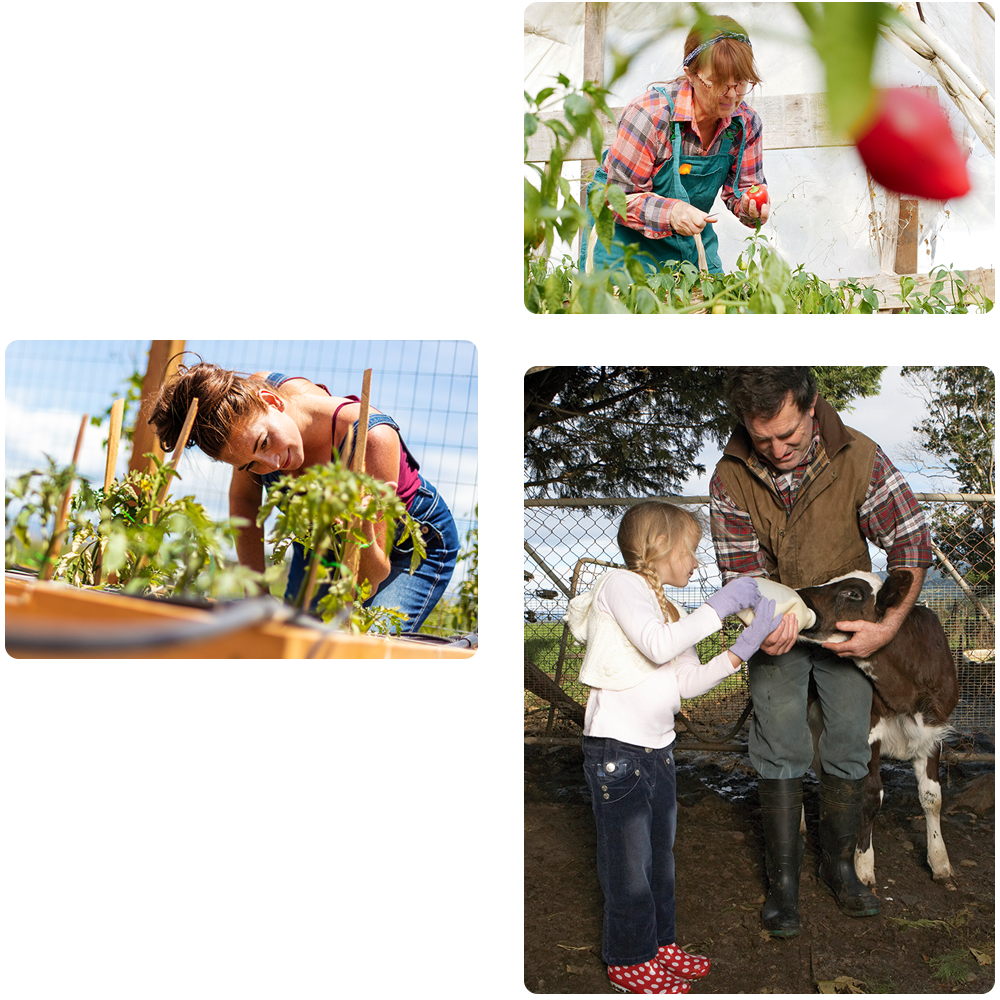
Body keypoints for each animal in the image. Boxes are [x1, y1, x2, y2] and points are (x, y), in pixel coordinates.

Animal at [792, 572, 956, 884]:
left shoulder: (933, 732)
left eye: (853, 594)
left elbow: (933, 798)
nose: (797, 594)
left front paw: (940, 861)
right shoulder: (868, 733)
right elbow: (870, 797)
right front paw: (863, 864)